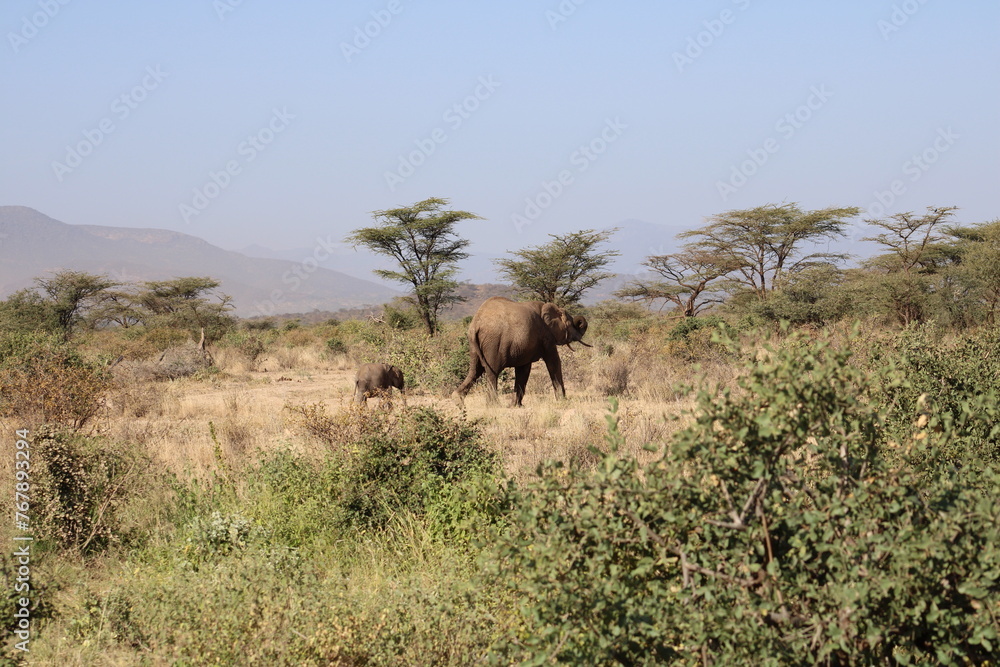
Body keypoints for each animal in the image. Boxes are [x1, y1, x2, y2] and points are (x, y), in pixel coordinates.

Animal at [454, 297, 590, 406]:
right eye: (571, 324)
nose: (580, 321)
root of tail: (475, 324)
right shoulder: (546, 336)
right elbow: (553, 362)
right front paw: (563, 401)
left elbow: (523, 370)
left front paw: (516, 406)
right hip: (493, 343)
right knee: (492, 372)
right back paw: (494, 406)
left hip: (474, 346)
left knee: (475, 371)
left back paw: (458, 401)